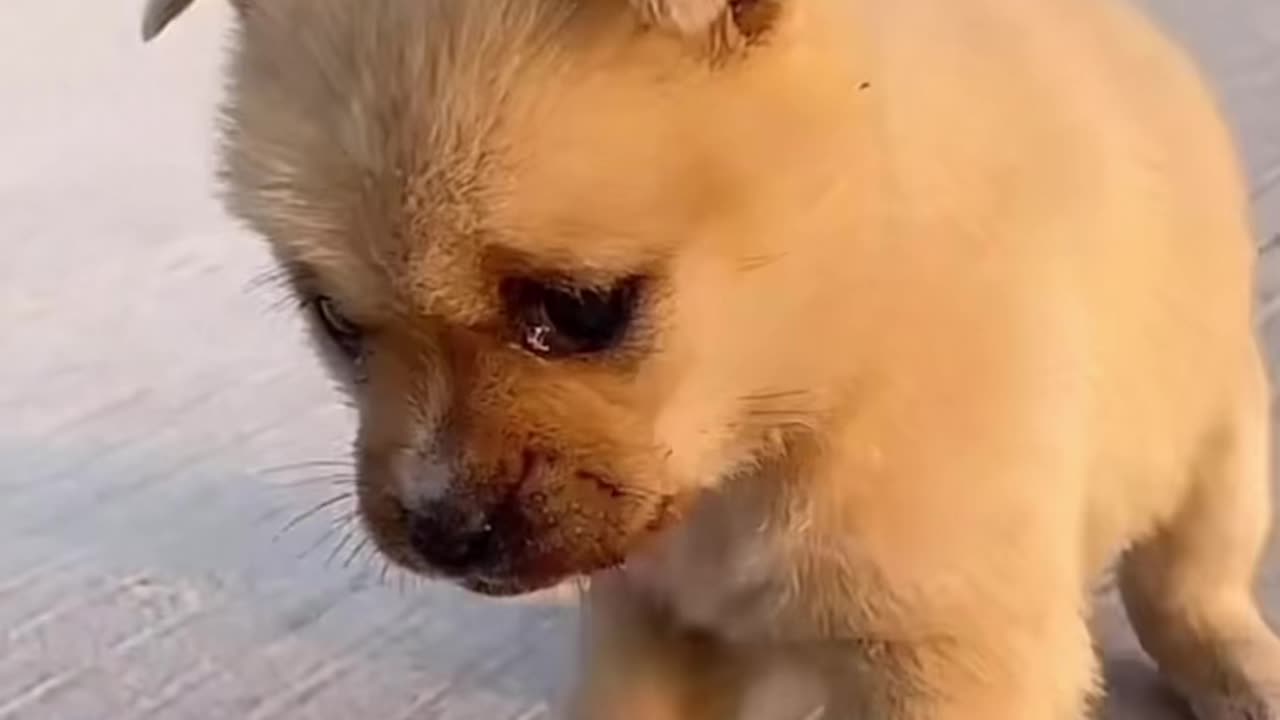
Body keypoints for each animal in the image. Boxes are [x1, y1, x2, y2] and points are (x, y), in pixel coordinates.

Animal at [145, 0, 1274, 712]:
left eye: (580, 310)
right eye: (333, 318)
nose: (439, 530)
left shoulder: (953, 652)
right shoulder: (655, 624)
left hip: (1221, 449)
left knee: (1184, 585)